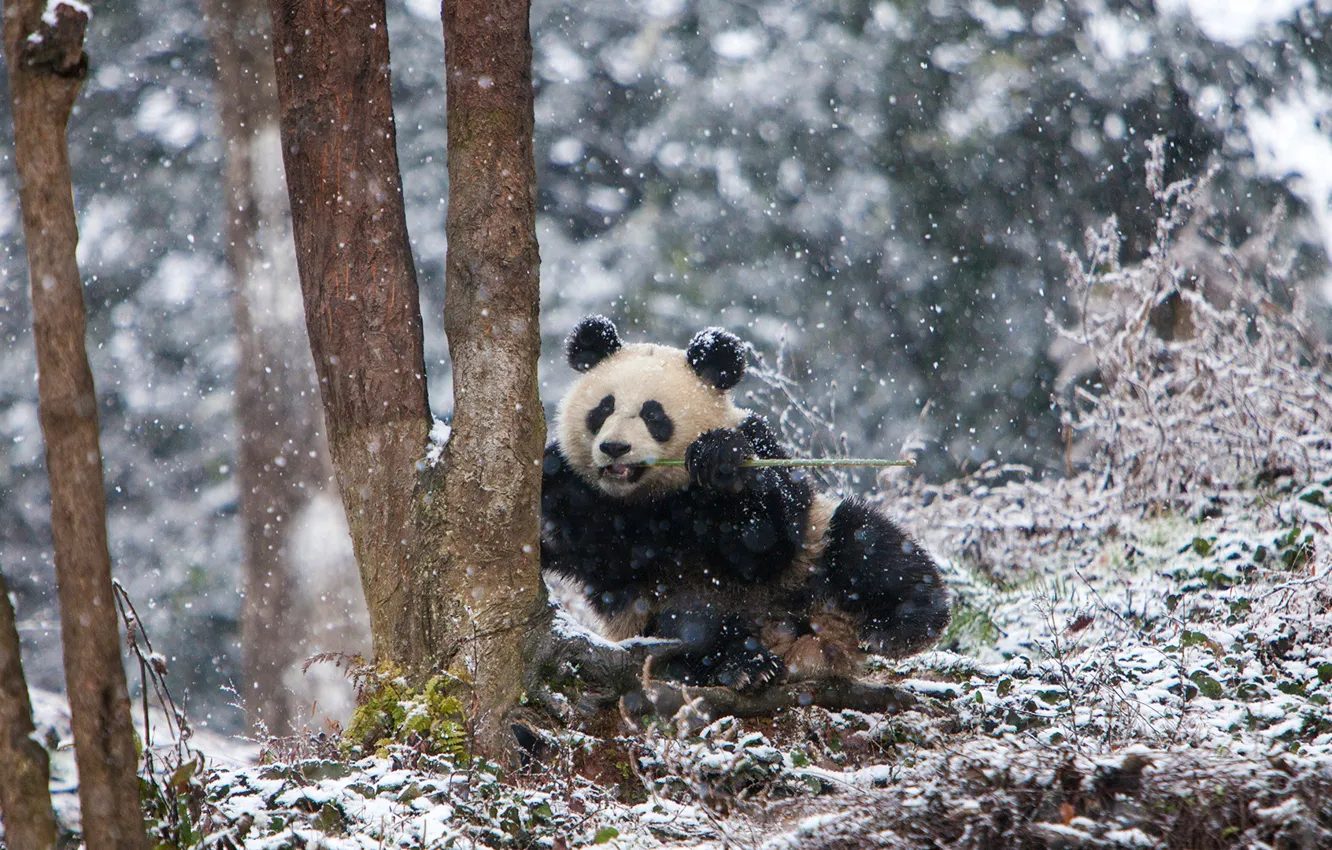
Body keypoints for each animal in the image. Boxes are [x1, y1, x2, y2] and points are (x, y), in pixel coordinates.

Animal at [541, 315, 950, 692]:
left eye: (653, 415)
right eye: (602, 409)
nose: (614, 447)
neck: (650, 499)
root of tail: (808, 645)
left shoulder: (757, 441)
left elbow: (767, 540)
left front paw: (718, 461)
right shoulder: (582, 495)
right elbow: (554, 524)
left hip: (813, 554)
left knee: (869, 546)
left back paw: (900, 626)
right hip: (658, 614)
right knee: (692, 631)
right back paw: (746, 665)